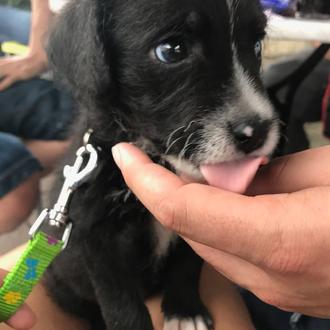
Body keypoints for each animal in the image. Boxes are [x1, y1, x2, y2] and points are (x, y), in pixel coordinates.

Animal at [45, 0, 278, 330]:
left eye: (257, 46)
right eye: (172, 50)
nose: (257, 132)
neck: (161, 161)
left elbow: (187, 265)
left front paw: (184, 312)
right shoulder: (95, 236)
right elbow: (119, 300)